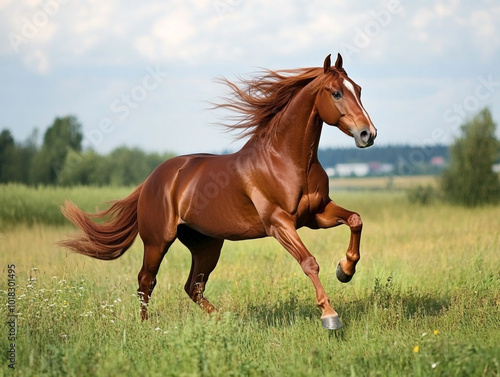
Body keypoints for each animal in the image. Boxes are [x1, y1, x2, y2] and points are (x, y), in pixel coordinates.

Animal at [58, 53, 376, 328]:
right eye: (336, 93)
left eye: (359, 90)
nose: (368, 134)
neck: (288, 160)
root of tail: (152, 180)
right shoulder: (279, 222)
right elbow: (309, 262)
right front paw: (330, 316)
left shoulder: (316, 215)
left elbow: (356, 220)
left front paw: (345, 270)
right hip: (158, 241)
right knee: (146, 281)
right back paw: (146, 327)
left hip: (206, 244)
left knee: (192, 286)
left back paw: (225, 320)